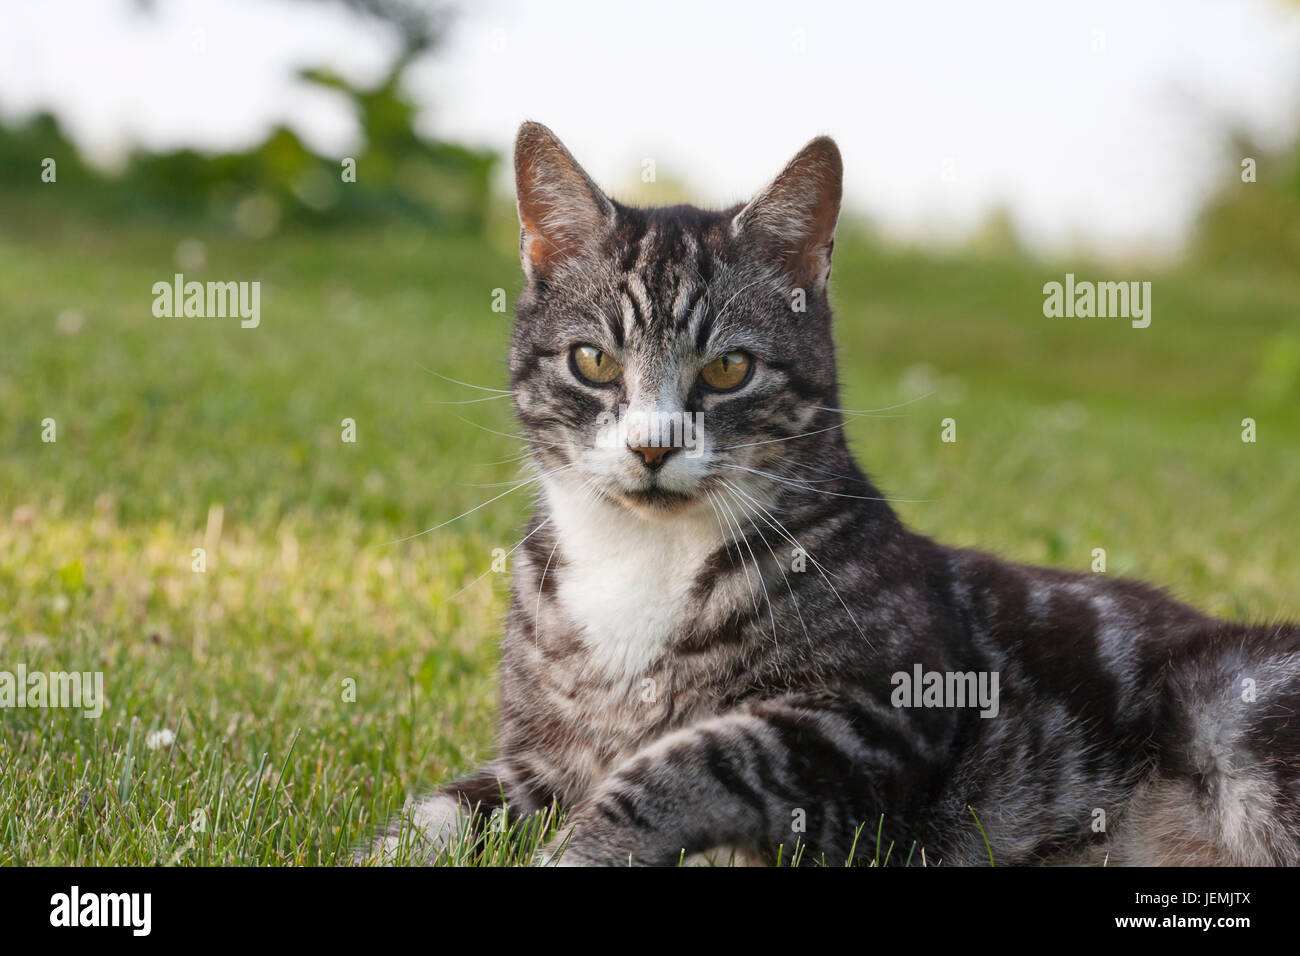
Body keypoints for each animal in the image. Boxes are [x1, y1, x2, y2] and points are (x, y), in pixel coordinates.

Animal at [366, 119, 1300, 868]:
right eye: (593, 361)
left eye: (729, 368)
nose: (653, 444)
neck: (643, 558)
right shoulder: (541, 761)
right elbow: (445, 809)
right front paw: (393, 846)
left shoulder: (874, 716)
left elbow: (686, 762)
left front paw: (580, 849)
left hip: (1235, 708)